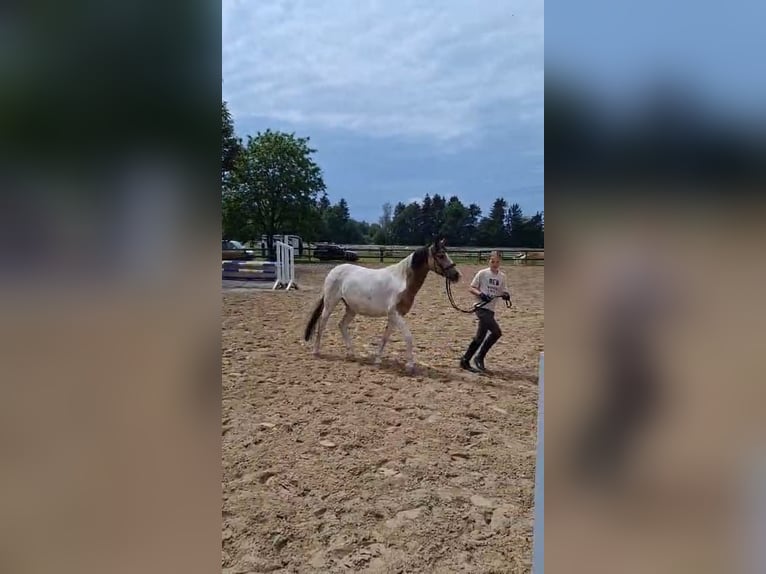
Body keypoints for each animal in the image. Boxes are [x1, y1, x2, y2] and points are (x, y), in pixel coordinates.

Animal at [304, 241, 462, 376]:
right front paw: (410, 366)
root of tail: (335, 270)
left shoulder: (394, 316)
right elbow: (408, 337)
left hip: (351, 308)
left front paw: (377, 360)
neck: (402, 280)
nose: (456, 275)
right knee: (322, 324)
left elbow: (385, 337)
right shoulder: (395, 314)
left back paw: (351, 353)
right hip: (330, 303)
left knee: (341, 325)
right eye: (441, 255)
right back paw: (316, 351)